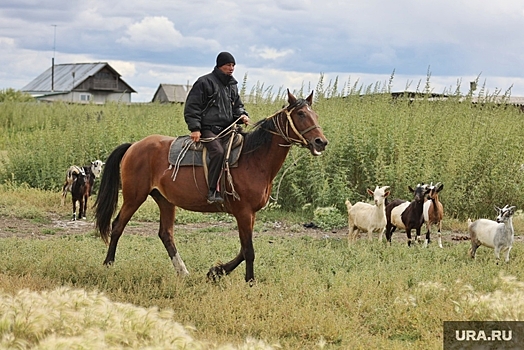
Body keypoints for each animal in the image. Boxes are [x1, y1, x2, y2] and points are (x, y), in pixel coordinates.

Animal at [94, 89, 328, 282]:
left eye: (315, 115)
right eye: (300, 114)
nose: (321, 142)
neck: (254, 159)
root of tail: (134, 146)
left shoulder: (250, 214)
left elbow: (243, 249)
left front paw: (216, 272)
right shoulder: (243, 212)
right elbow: (249, 250)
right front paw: (249, 281)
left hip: (165, 200)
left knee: (165, 234)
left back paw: (183, 271)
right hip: (134, 197)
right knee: (117, 226)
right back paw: (108, 265)